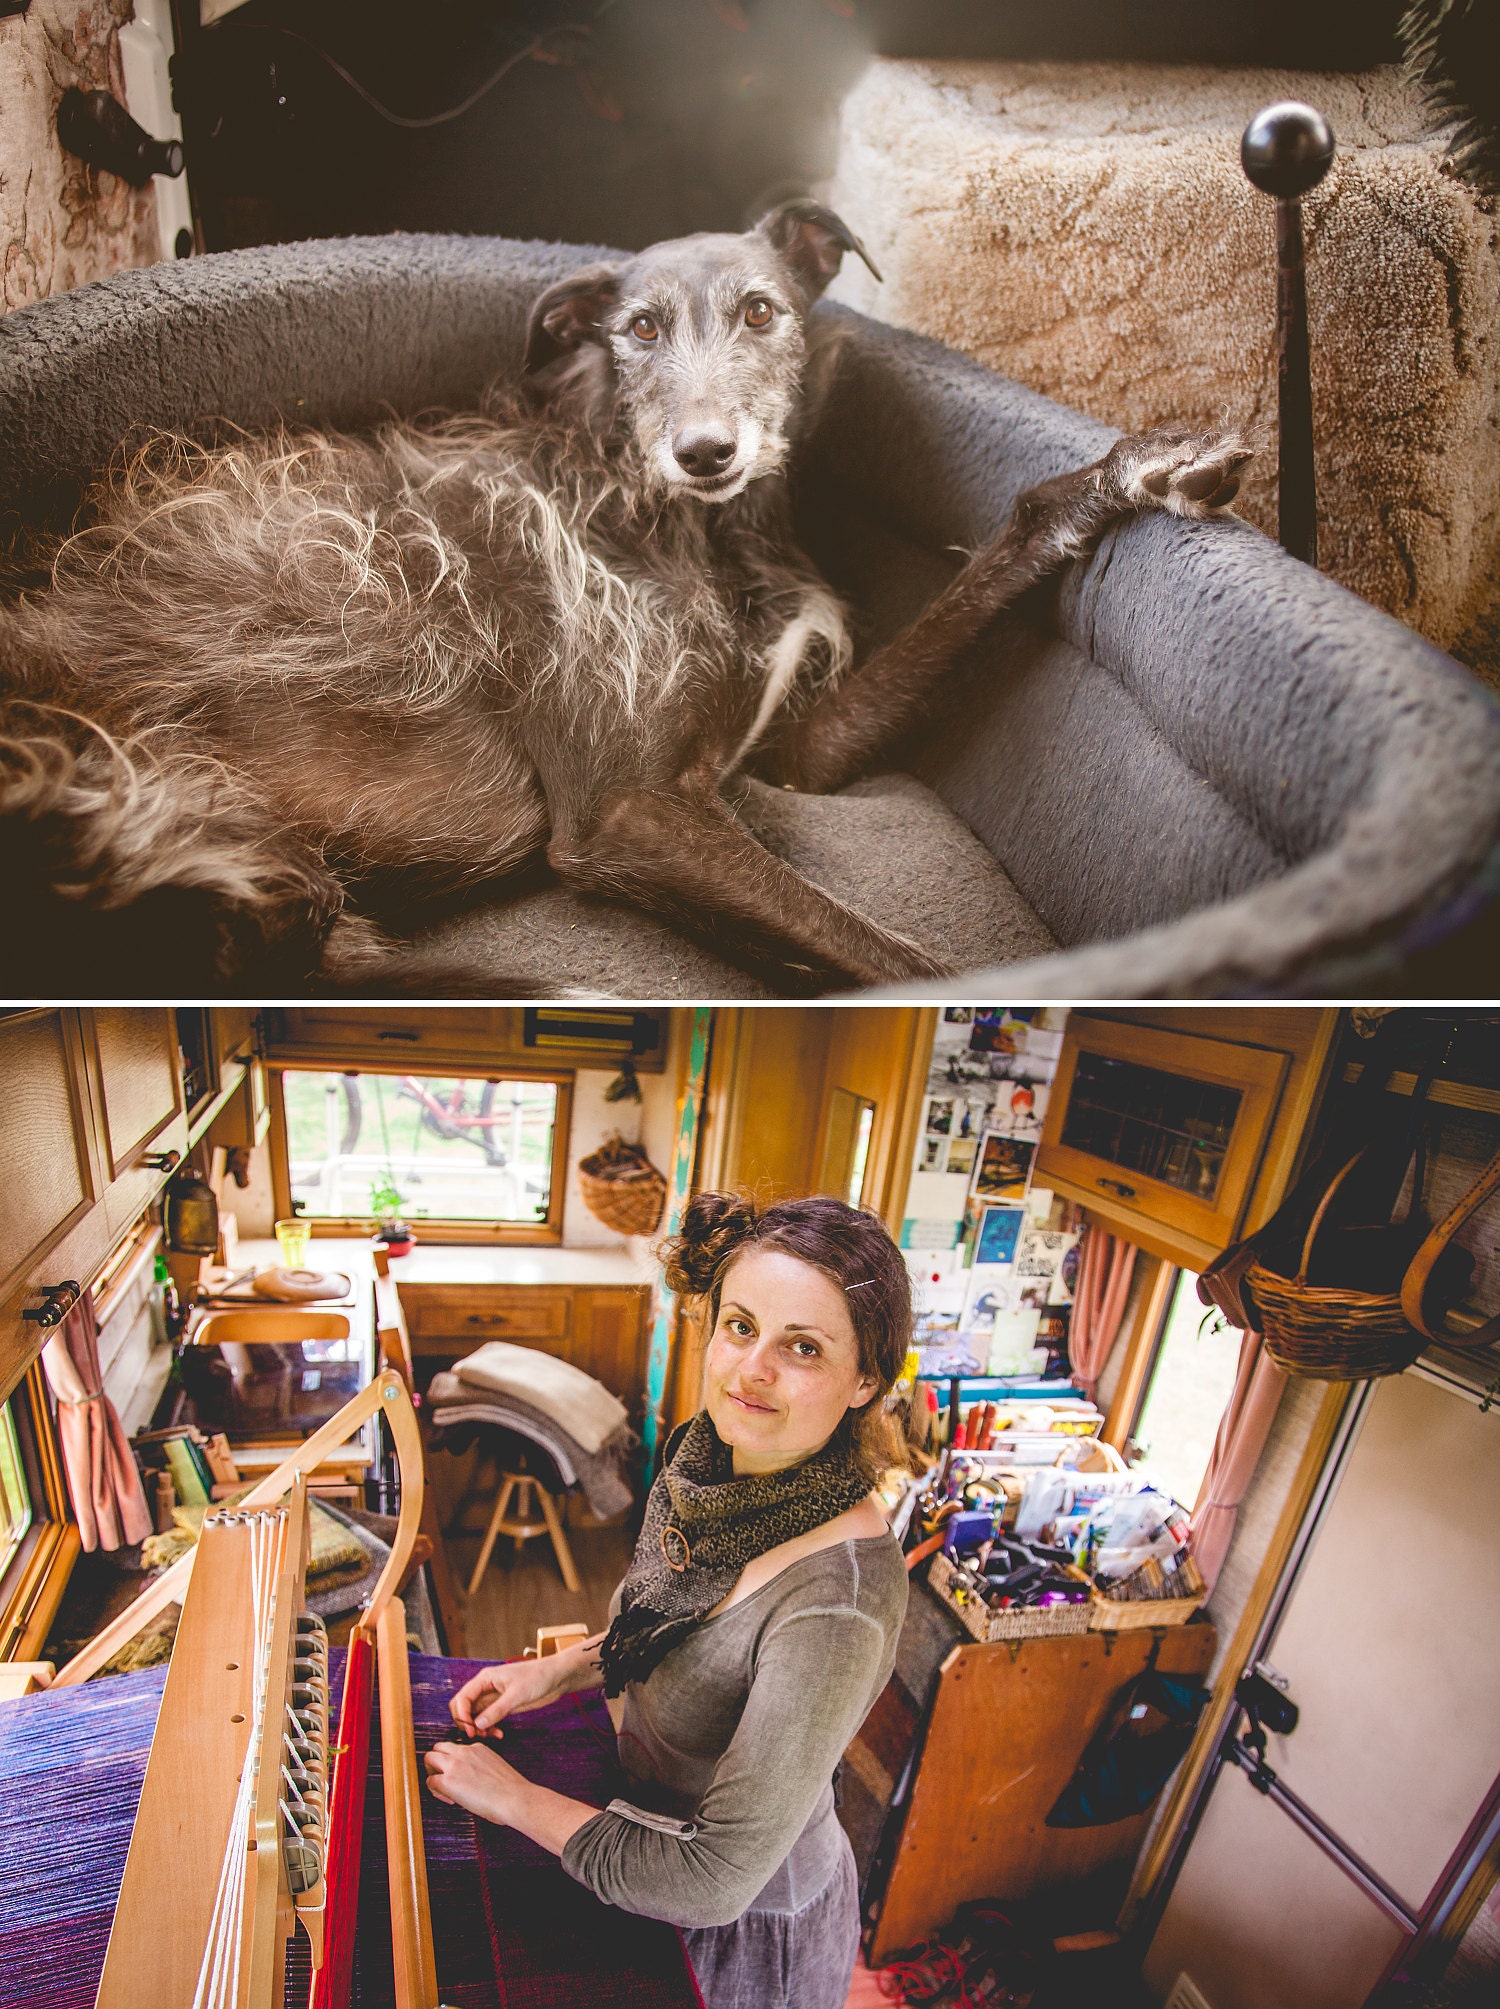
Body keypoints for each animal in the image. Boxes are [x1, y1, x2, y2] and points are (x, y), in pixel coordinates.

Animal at [0, 199, 1253, 1000]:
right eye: (638, 328)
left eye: (761, 310)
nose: (706, 451)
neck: (699, 531)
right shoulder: (625, 810)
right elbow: (904, 960)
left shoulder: (788, 749)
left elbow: (1010, 536)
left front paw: (1136, 468)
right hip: (153, 808)